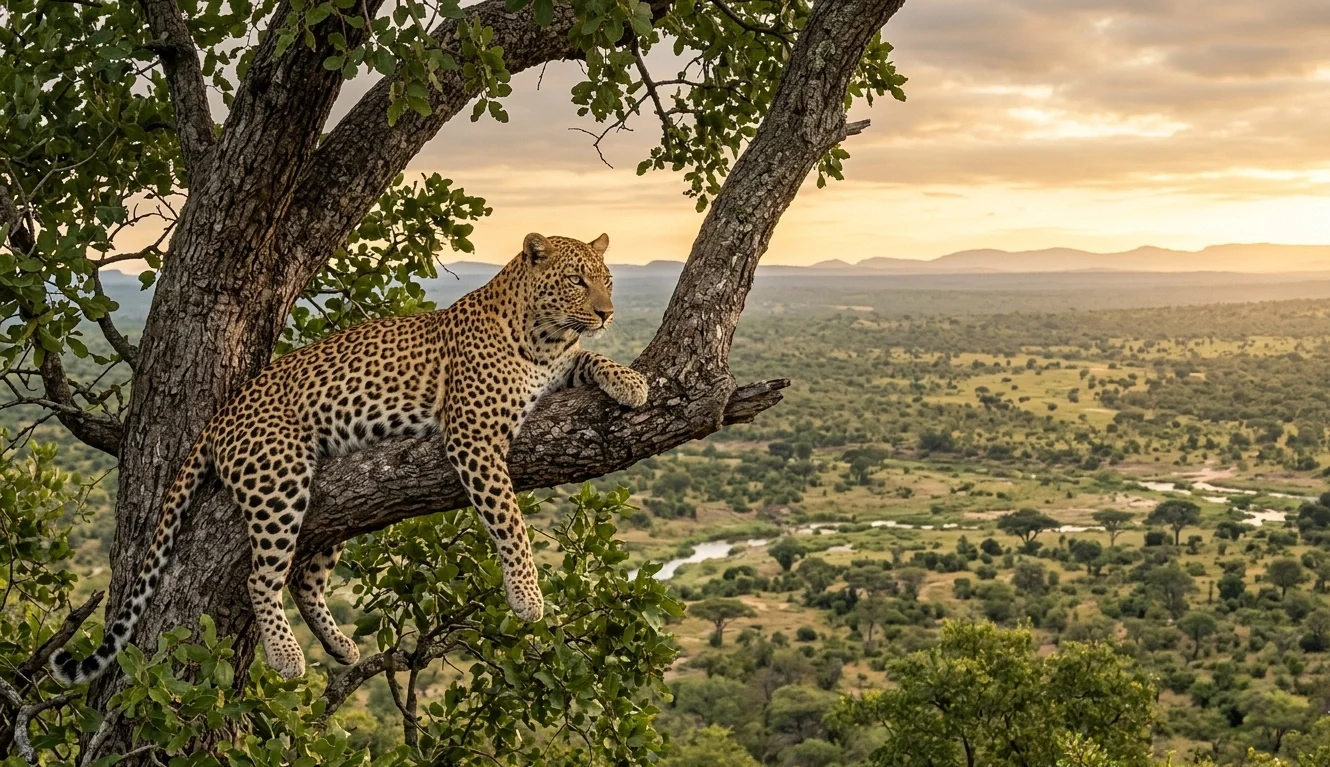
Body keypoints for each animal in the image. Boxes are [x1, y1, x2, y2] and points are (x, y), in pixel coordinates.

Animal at [51, 232, 649, 684]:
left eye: (608, 280)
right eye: (576, 281)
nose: (607, 313)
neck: (542, 337)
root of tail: (221, 415)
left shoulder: (557, 371)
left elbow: (589, 358)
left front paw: (631, 382)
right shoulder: (474, 436)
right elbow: (509, 521)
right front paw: (526, 596)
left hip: (341, 500)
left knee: (304, 579)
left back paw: (340, 647)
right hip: (280, 480)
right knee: (262, 578)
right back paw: (286, 657)